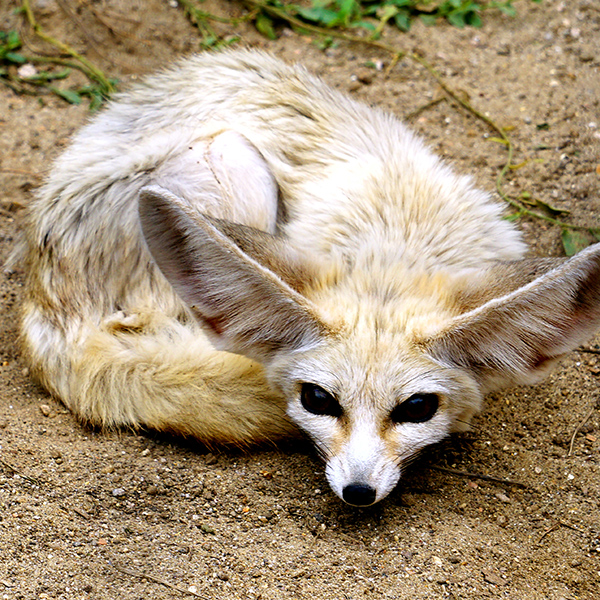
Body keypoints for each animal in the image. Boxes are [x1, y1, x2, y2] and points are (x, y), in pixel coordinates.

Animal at [12, 50, 600, 506]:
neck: (396, 236)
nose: (357, 493)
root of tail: (42, 313)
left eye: (416, 409)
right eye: (317, 400)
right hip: (232, 161)